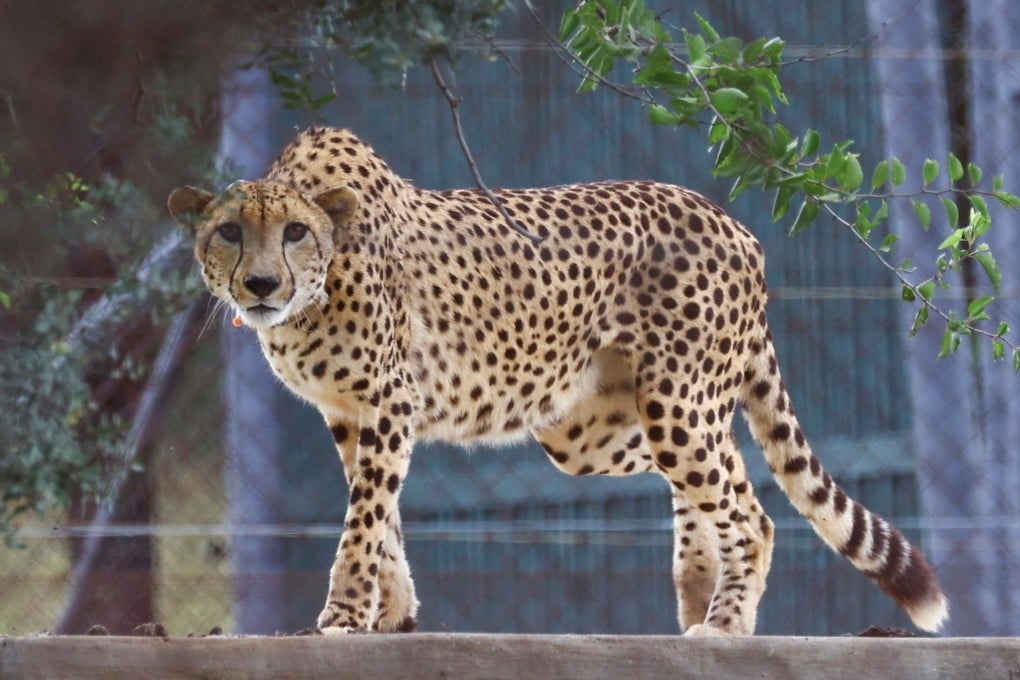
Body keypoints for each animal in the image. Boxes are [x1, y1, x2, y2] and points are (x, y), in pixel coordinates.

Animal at [168, 125, 948, 636]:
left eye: (294, 233)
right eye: (228, 232)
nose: (261, 284)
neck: (313, 292)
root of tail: (733, 223)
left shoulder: (390, 399)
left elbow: (363, 517)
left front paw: (342, 614)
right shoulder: (348, 413)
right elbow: (379, 514)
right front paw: (393, 611)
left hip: (671, 402)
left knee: (749, 509)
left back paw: (725, 623)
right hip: (600, 429)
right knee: (723, 466)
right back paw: (698, 591)